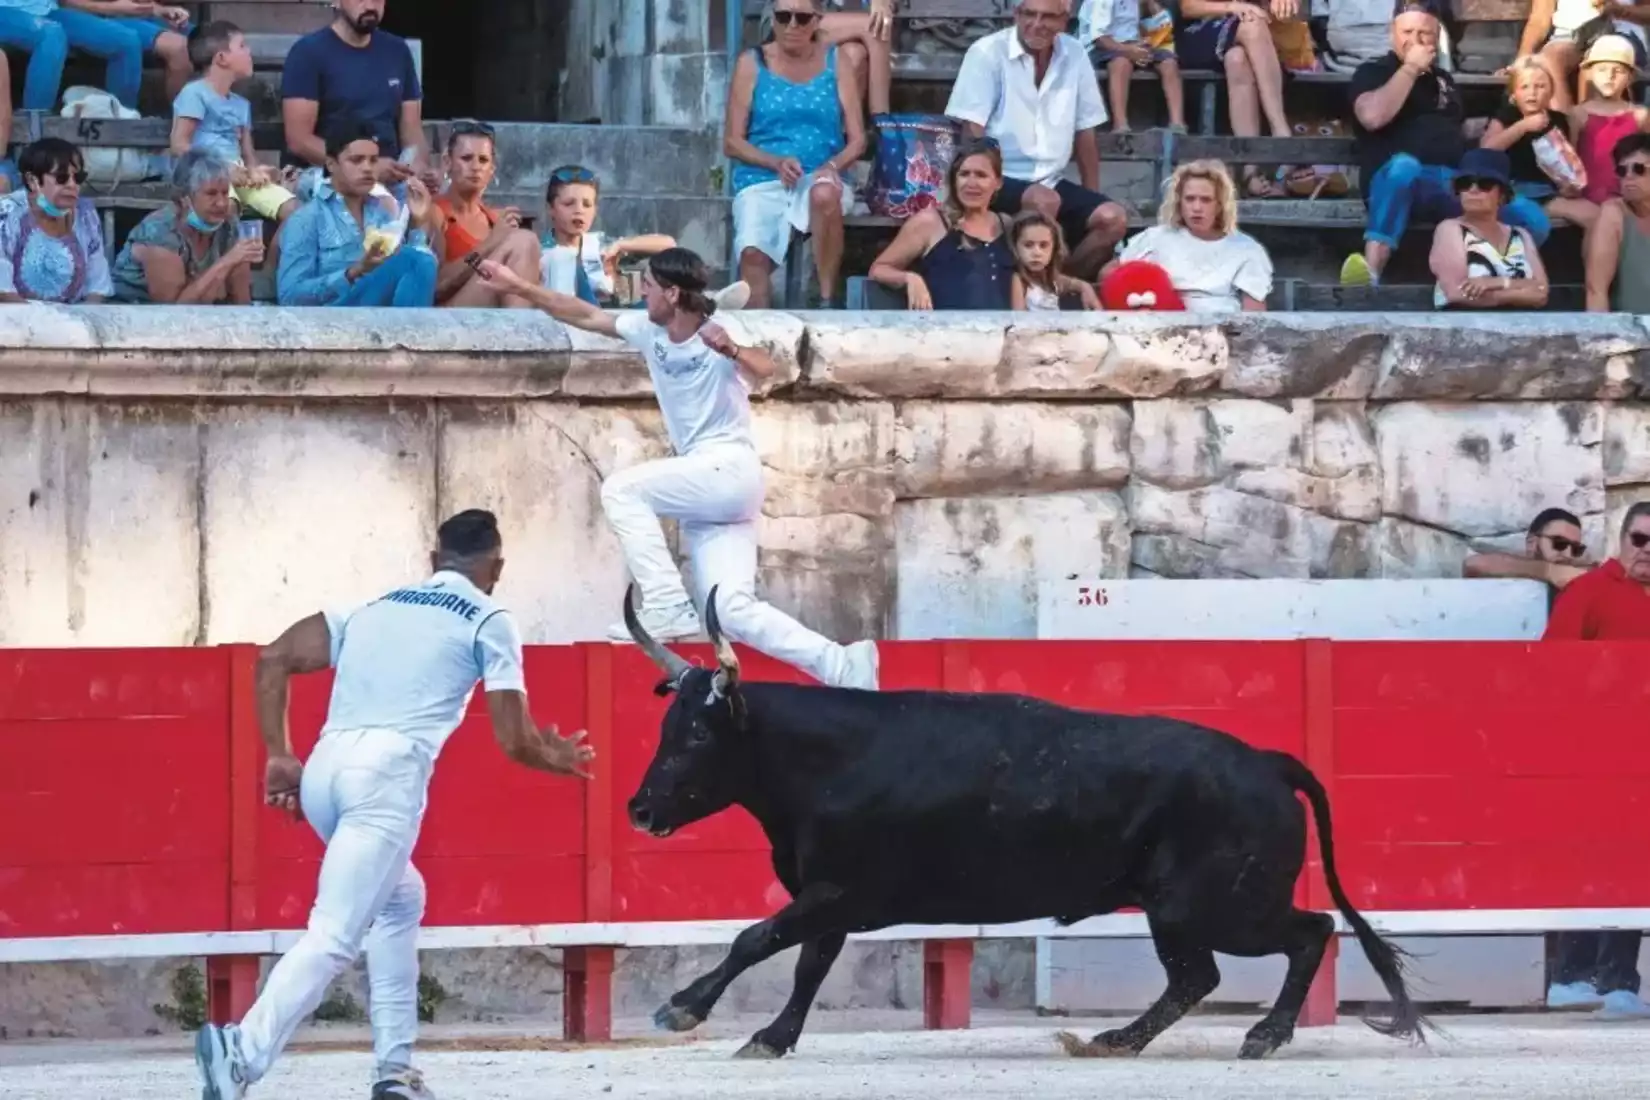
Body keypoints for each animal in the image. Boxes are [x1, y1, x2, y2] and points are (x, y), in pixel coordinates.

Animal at [620, 590, 1432, 1062]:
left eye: (699, 734)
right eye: (664, 726)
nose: (640, 810)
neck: (824, 761)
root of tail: (1266, 761)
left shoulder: (837, 893)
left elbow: (756, 939)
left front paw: (683, 1008)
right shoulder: (828, 899)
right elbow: (805, 963)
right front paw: (772, 1037)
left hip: (1216, 904)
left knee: (1308, 932)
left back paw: (1262, 1036)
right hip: (1180, 909)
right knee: (1199, 973)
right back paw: (1116, 1041)